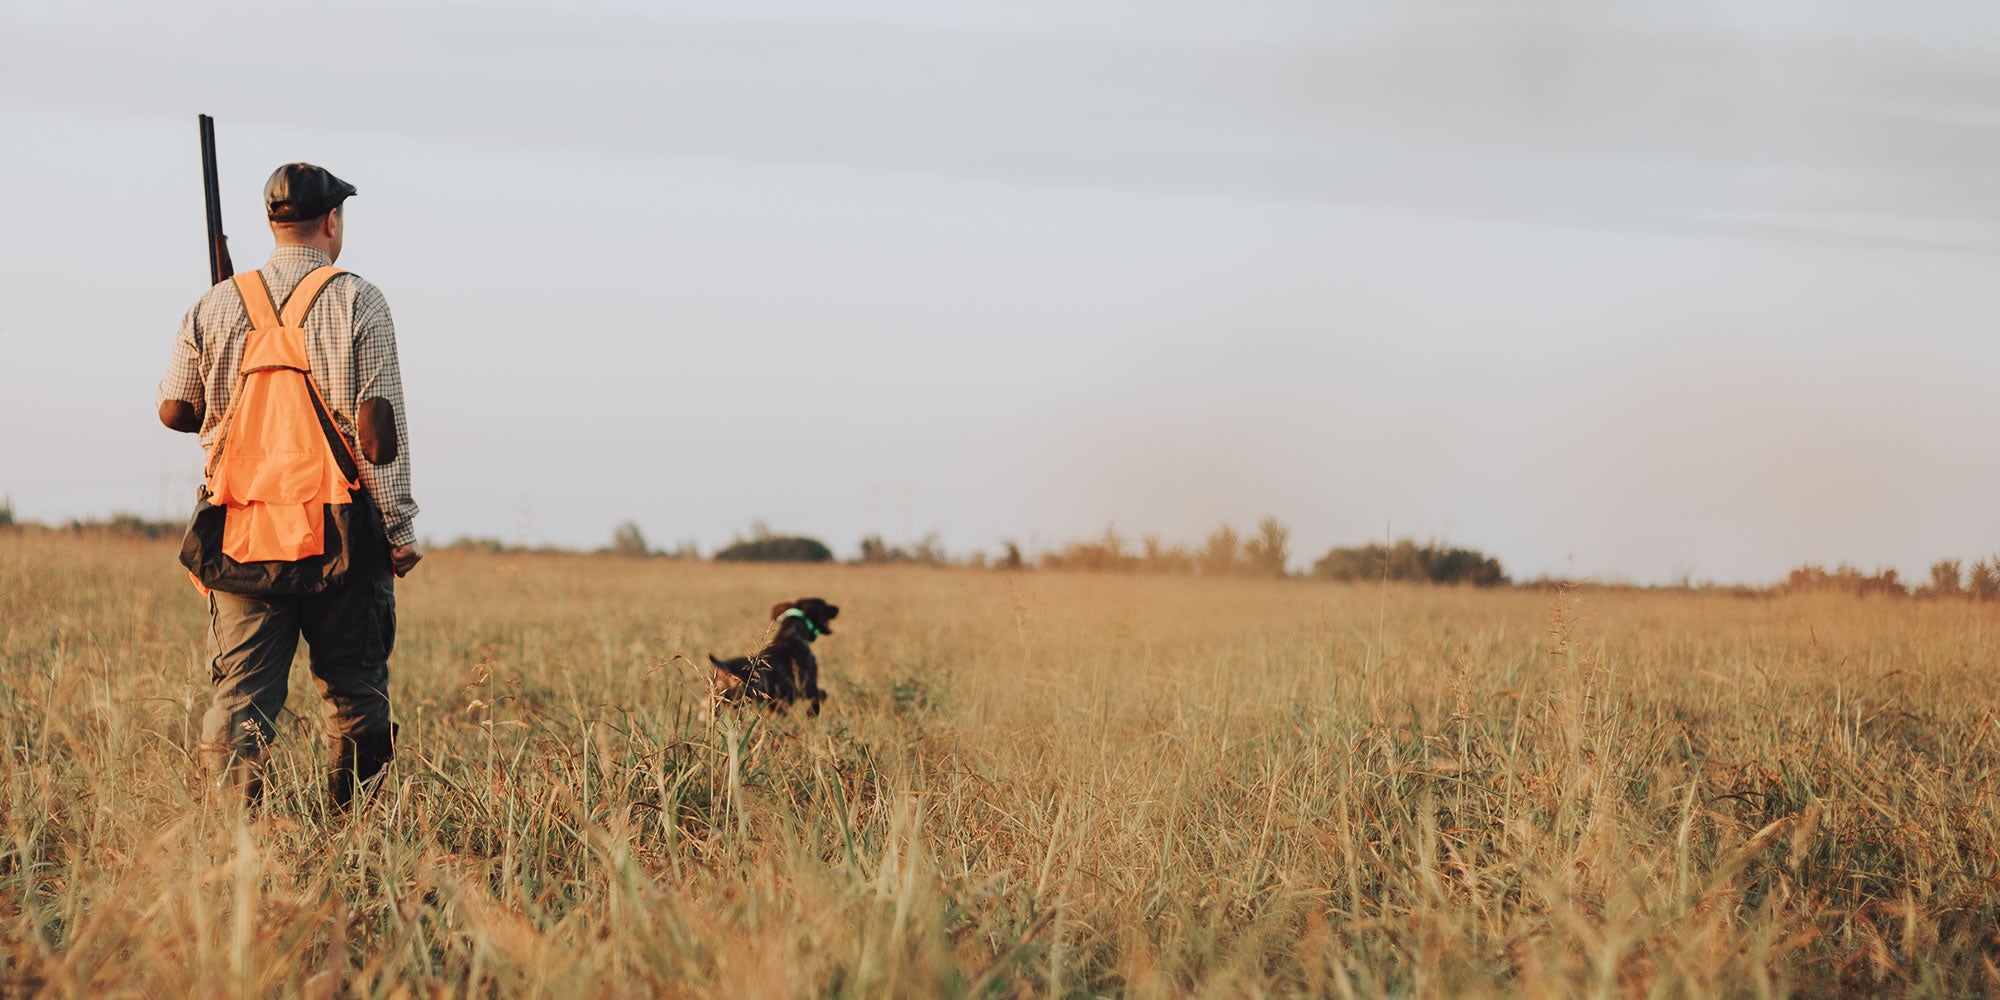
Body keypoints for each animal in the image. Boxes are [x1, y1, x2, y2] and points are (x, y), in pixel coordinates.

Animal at [708, 596, 840, 716]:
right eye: (824, 604)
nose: (837, 608)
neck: (792, 633)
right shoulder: (807, 687)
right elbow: (822, 694)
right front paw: (812, 713)